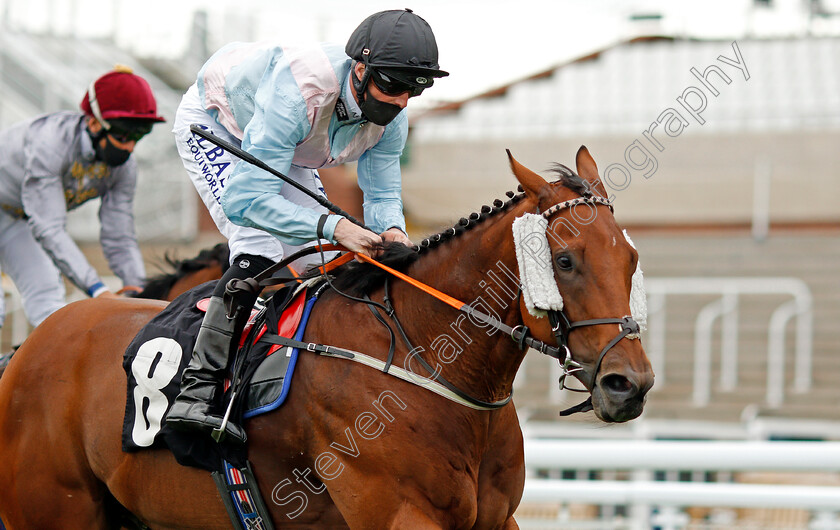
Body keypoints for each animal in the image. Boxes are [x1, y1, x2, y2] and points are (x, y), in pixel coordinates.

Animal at [0, 148, 652, 528]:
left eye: (631, 259)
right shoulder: (402, 517)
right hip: (52, 511)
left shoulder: (496, 520)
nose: (631, 383)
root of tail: (27, 348)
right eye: (564, 261)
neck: (425, 360)